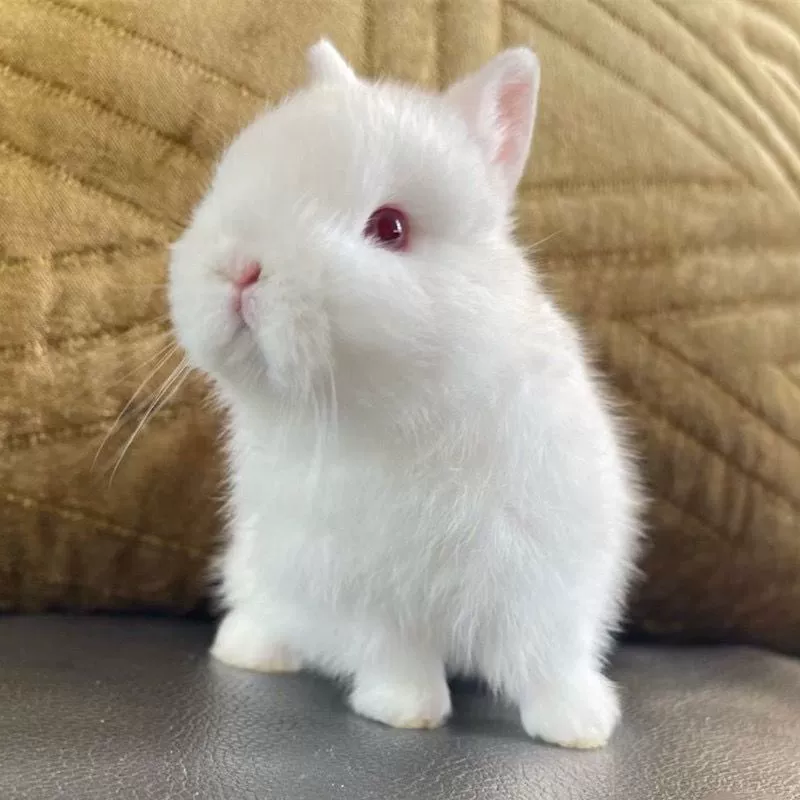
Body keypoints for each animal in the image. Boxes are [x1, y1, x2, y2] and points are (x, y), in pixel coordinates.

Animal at [168, 39, 641, 749]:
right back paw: (248, 650)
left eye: (391, 227)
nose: (241, 269)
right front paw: (404, 711)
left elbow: (546, 655)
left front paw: (580, 727)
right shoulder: (369, 589)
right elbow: (397, 653)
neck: (399, 408)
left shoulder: (547, 568)